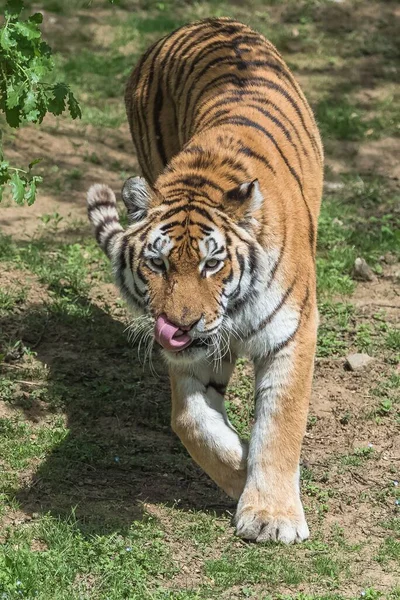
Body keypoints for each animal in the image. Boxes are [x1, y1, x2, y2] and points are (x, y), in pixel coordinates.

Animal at [86, 17, 322, 544]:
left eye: (212, 265)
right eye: (158, 265)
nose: (178, 326)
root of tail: (201, 22)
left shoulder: (293, 333)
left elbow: (281, 421)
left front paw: (272, 515)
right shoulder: (195, 357)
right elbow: (191, 420)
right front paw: (240, 474)